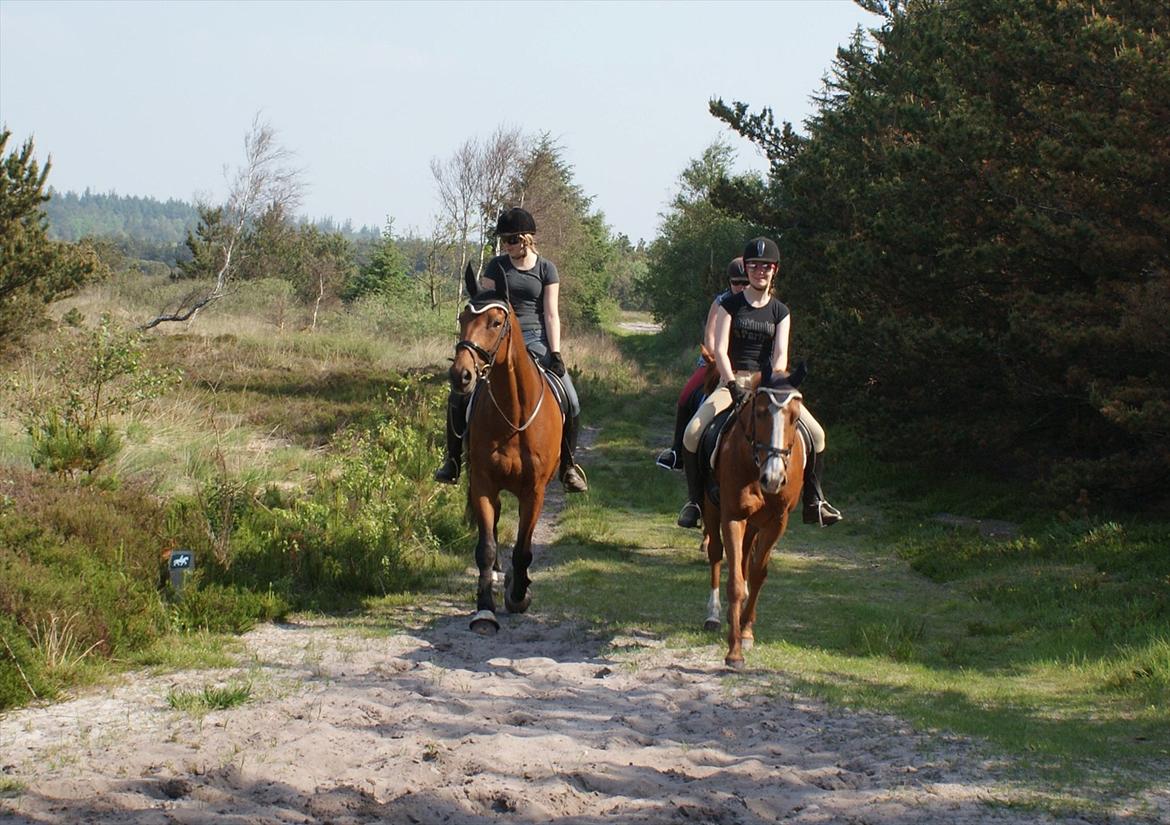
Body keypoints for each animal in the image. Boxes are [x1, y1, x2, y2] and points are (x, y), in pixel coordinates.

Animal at [446, 266, 561, 631]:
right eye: (462, 317)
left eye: (496, 322)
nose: (461, 376)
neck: (514, 412)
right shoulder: (483, 483)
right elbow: (486, 547)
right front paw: (484, 609)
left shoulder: (534, 491)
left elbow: (524, 548)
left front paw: (519, 594)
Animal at [697, 374, 809, 669]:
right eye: (759, 413)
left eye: (795, 417)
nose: (773, 478)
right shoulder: (733, 517)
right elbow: (734, 581)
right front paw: (734, 652)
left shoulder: (777, 522)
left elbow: (758, 573)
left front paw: (746, 632)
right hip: (712, 508)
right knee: (716, 553)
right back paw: (713, 615)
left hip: (755, 524)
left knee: (746, 556)